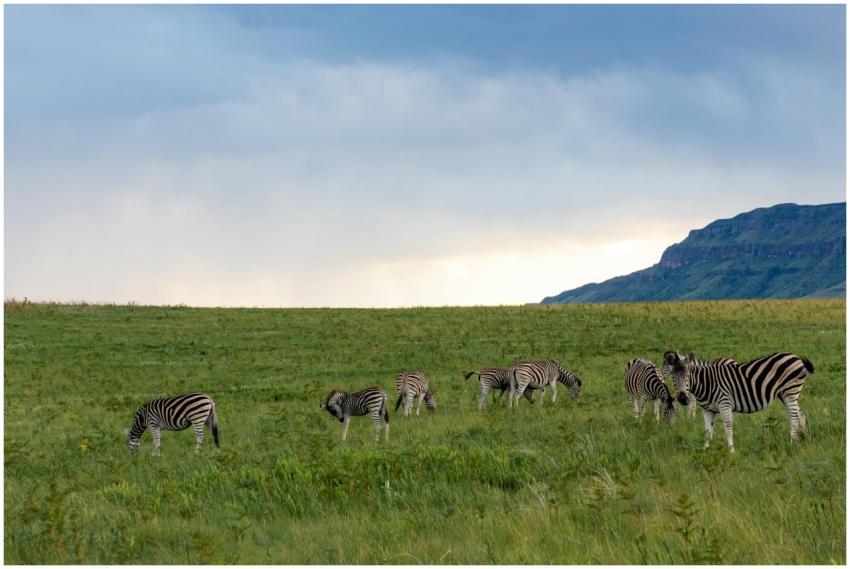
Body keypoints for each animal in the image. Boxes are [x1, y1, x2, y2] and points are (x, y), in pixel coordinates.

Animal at [664, 351, 814, 452]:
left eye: (688, 376)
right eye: (674, 377)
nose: (683, 398)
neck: (707, 382)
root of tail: (796, 357)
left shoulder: (725, 404)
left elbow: (728, 429)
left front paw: (731, 451)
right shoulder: (708, 410)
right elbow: (707, 431)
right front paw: (706, 450)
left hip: (790, 391)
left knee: (794, 416)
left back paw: (791, 443)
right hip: (785, 394)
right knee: (800, 414)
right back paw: (802, 439)